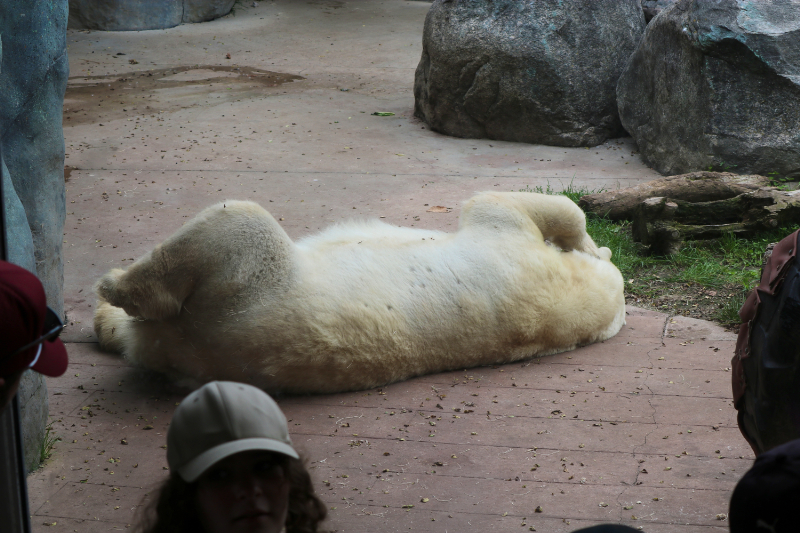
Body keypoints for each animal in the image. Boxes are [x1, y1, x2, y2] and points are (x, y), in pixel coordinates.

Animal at [94, 191, 624, 390]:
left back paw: (114, 288)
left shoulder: (513, 247)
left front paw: (590, 244)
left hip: (248, 290)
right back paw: (106, 322)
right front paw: (596, 246)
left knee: (238, 221)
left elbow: (500, 203)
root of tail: (195, 351)